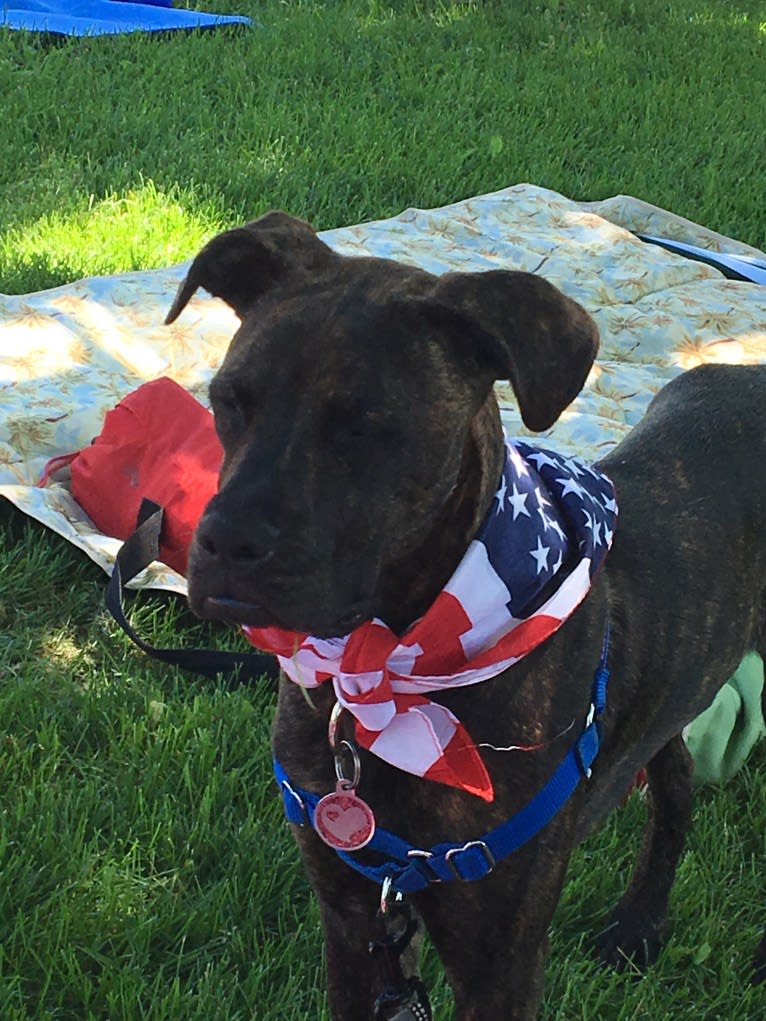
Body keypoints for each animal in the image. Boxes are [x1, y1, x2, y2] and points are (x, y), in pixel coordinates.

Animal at [165, 213, 763, 1021]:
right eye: (229, 398)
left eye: (366, 428)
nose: (225, 540)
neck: (383, 672)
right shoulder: (355, 922)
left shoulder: (497, 961)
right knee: (673, 775)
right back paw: (640, 923)